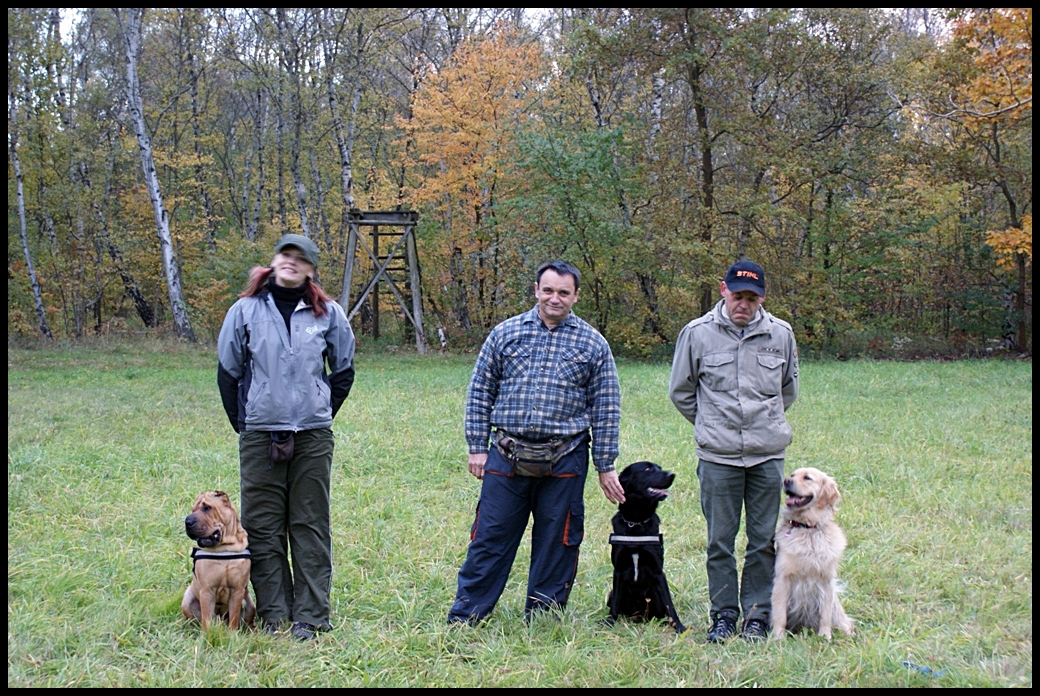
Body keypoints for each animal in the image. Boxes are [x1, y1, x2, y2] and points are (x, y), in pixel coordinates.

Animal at [179, 488, 254, 628]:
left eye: (207, 508)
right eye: (193, 510)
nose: (187, 522)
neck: (224, 548)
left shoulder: (237, 591)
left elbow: (234, 617)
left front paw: (232, 633)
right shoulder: (207, 591)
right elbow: (206, 619)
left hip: (250, 605)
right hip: (187, 601)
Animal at [607, 457, 686, 632]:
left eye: (660, 468)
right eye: (648, 469)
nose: (672, 475)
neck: (636, 522)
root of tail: (639, 616)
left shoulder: (658, 571)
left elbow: (669, 604)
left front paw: (679, 626)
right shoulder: (618, 570)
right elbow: (615, 603)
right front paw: (608, 623)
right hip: (611, 593)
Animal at [773, 466, 852, 640]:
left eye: (807, 478)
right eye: (792, 475)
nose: (786, 481)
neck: (807, 528)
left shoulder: (826, 581)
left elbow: (825, 615)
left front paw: (825, 636)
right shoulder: (783, 578)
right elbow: (780, 614)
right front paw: (778, 638)